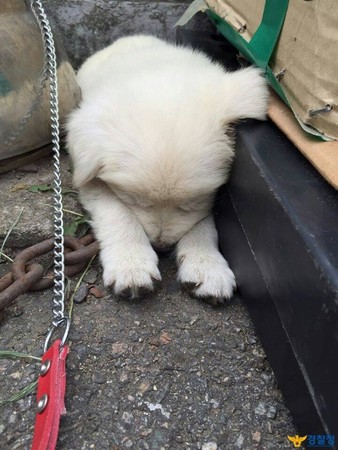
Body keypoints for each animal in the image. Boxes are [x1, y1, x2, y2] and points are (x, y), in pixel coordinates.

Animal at [66, 33, 270, 304]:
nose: (162, 247)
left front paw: (206, 264)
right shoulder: (89, 180)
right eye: (137, 202)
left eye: (190, 204)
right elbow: (117, 212)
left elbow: (204, 223)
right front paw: (132, 264)